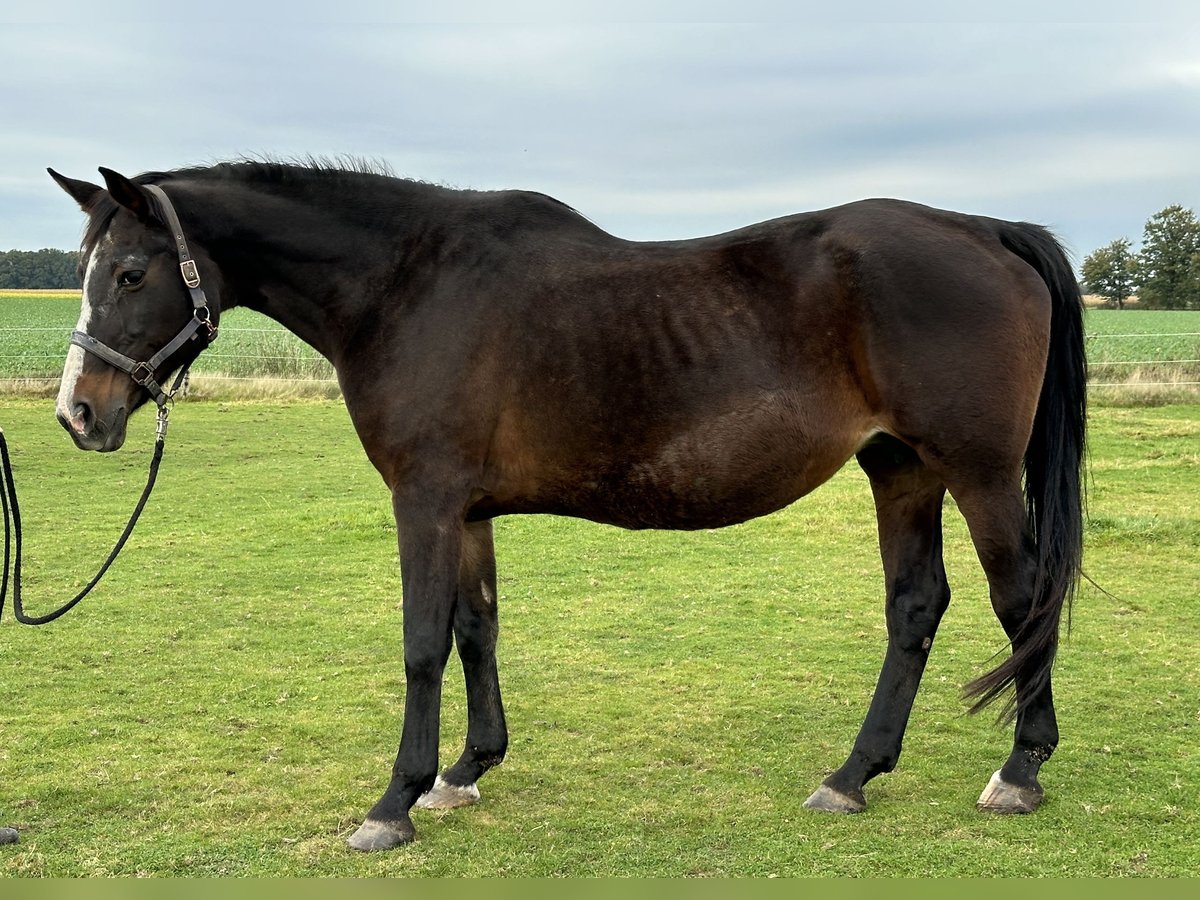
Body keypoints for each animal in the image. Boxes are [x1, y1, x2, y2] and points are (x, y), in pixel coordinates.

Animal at [46, 160, 1089, 854]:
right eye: (90, 269)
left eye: (131, 272)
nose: (78, 413)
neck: (406, 285)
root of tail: (987, 229)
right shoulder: (466, 511)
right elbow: (476, 629)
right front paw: (465, 772)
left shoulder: (424, 501)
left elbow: (421, 642)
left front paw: (393, 804)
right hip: (900, 468)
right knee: (915, 608)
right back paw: (851, 776)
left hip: (977, 473)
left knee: (1022, 602)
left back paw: (1020, 771)